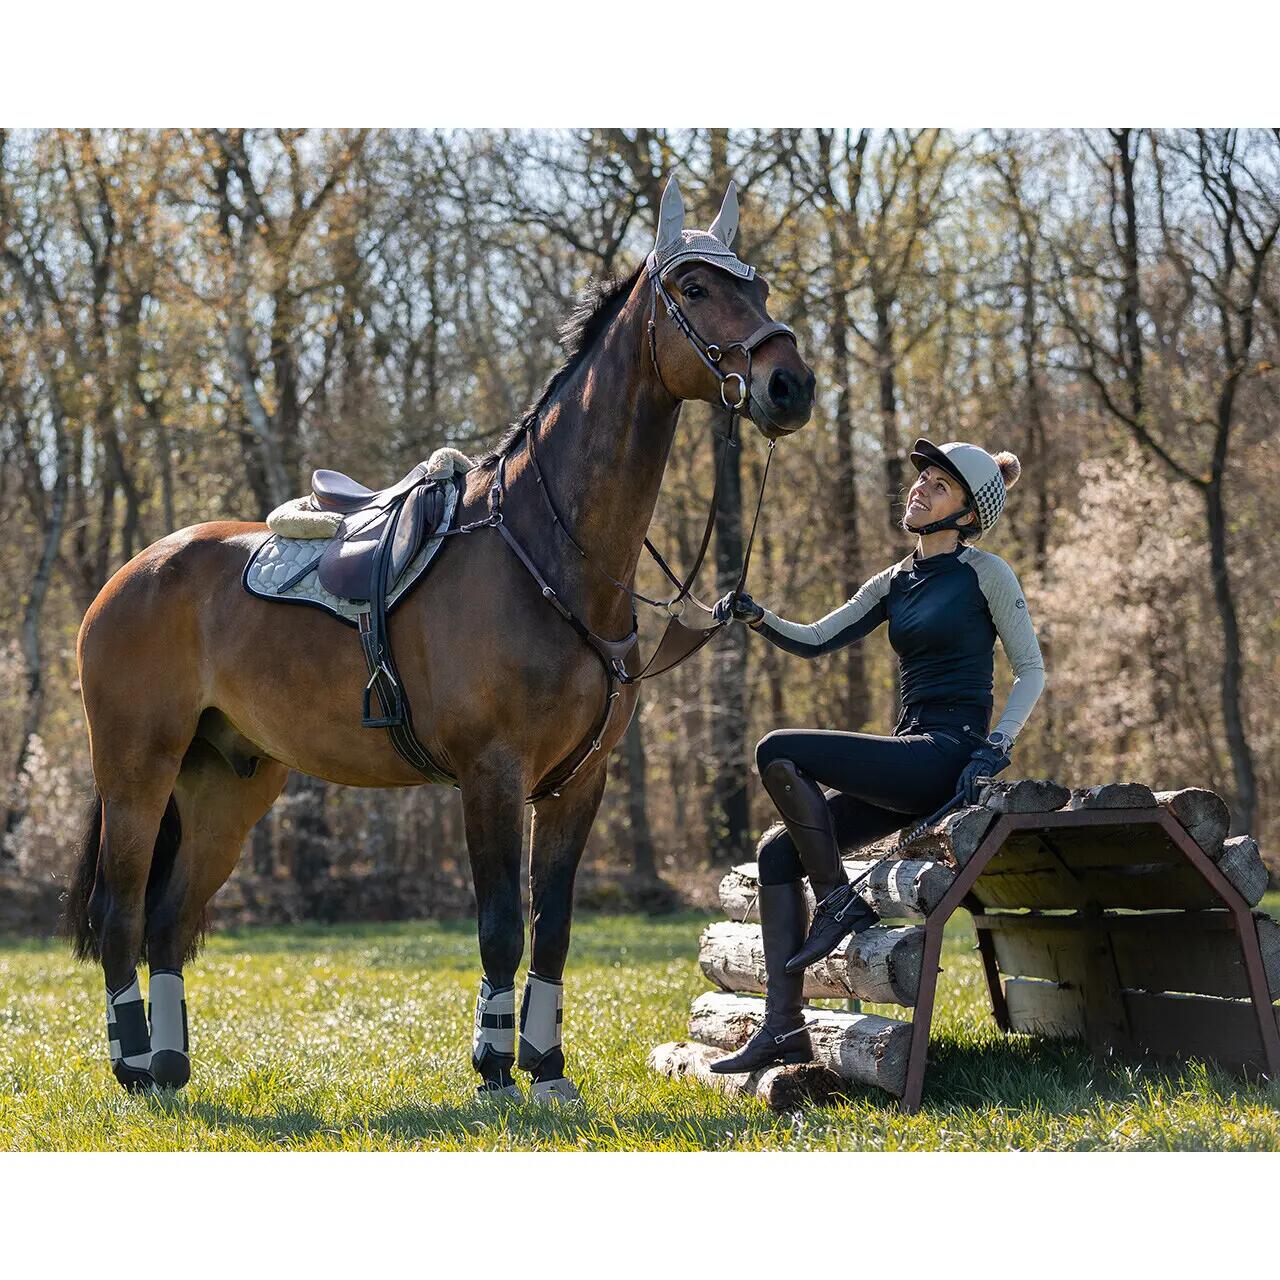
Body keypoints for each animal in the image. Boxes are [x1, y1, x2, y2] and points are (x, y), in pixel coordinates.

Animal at [63, 177, 816, 1101]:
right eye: (697, 289)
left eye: (762, 288)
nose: (790, 385)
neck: (548, 551)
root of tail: (130, 574)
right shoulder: (492, 774)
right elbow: (500, 925)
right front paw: (495, 1071)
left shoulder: (580, 784)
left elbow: (552, 926)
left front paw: (548, 1070)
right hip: (139, 765)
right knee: (120, 910)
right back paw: (133, 1064)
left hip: (227, 781)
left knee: (168, 919)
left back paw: (170, 1066)